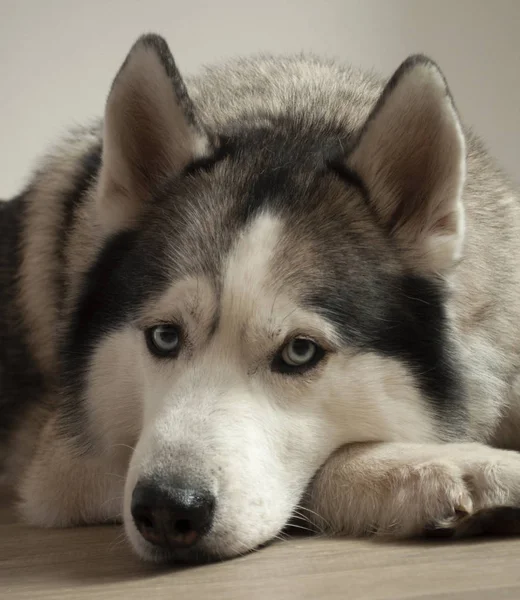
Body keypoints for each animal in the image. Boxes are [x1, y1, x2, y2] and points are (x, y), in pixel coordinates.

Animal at [3, 34, 520, 564]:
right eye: (164, 337)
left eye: (300, 351)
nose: (167, 510)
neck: (293, 113)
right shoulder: (66, 470)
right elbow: (330, 464)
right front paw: (458, 468)